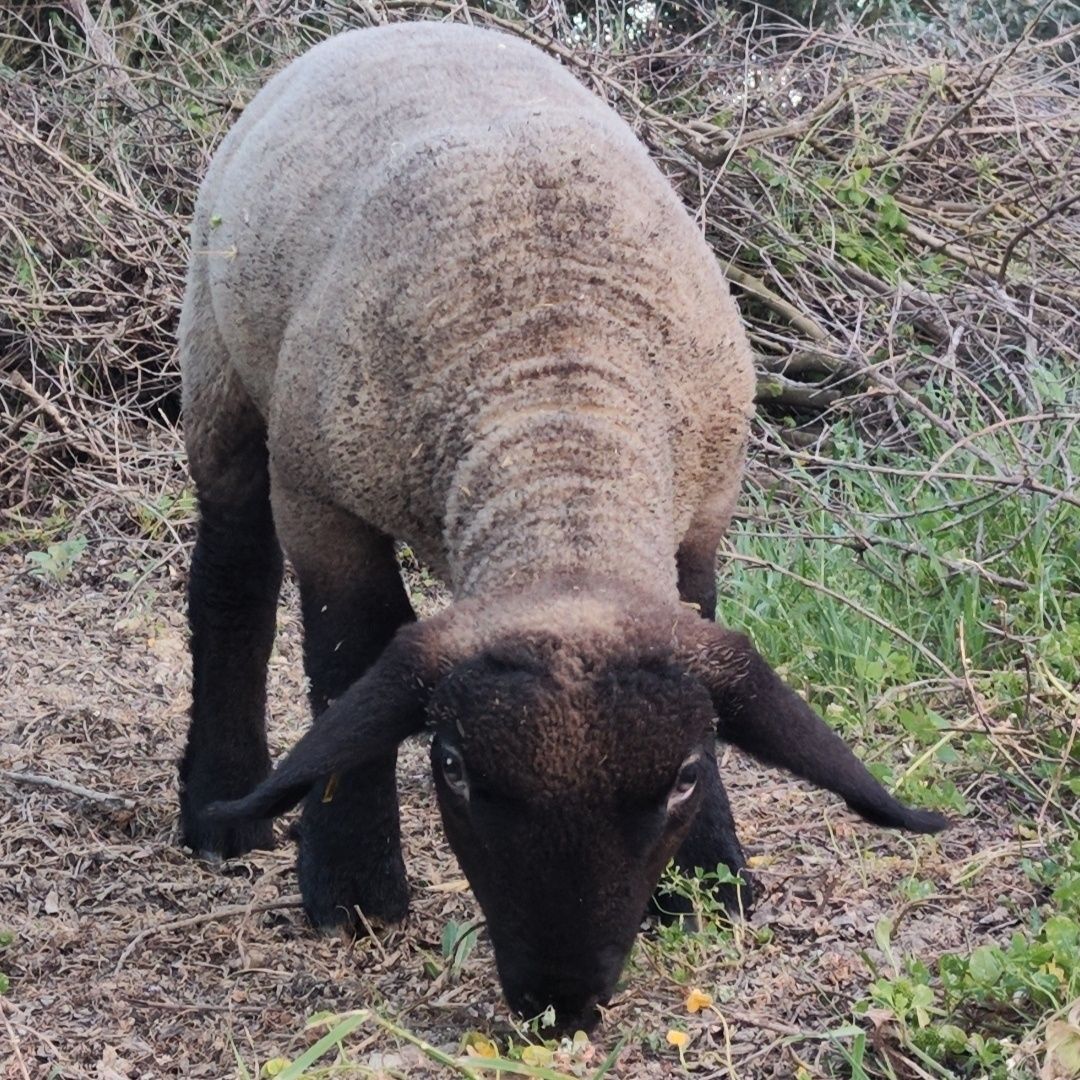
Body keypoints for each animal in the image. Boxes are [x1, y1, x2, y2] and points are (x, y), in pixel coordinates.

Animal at [181, 23, 950, 1028]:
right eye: (454, 770)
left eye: (685, 775)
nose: (560, 1002)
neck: (559, 414)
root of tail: (400, 24)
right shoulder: (322, 499)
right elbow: (347, 663)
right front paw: (351, 888)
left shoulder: (701, 513)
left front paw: (711, 882)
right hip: (221, 364)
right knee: (231, 577)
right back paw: (219, 802)